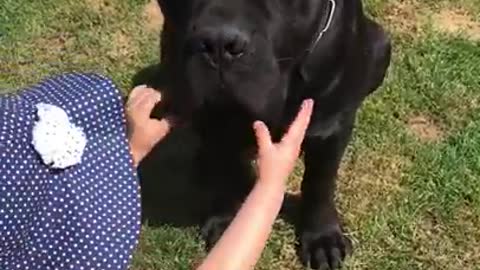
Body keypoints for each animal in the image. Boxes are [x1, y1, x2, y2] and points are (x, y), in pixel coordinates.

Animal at [156, 0, 392, 268]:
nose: (219, 43)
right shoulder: (212, 119)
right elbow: (224, 167)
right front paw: (226, 221)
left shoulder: (330, 125)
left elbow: (320, 183)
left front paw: (322, 238)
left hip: (380, 44)